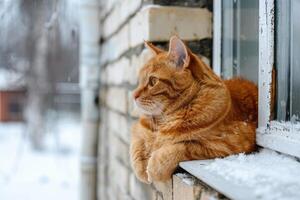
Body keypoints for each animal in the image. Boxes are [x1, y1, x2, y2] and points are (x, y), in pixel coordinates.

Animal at [130, 35, 256, 183]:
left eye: (153, 81)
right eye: (140, 81)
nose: (133, 95)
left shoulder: (228, 142)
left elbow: (181, 147)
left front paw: (154, 168)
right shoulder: (139, 128)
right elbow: (136, 146)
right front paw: (141, 169)